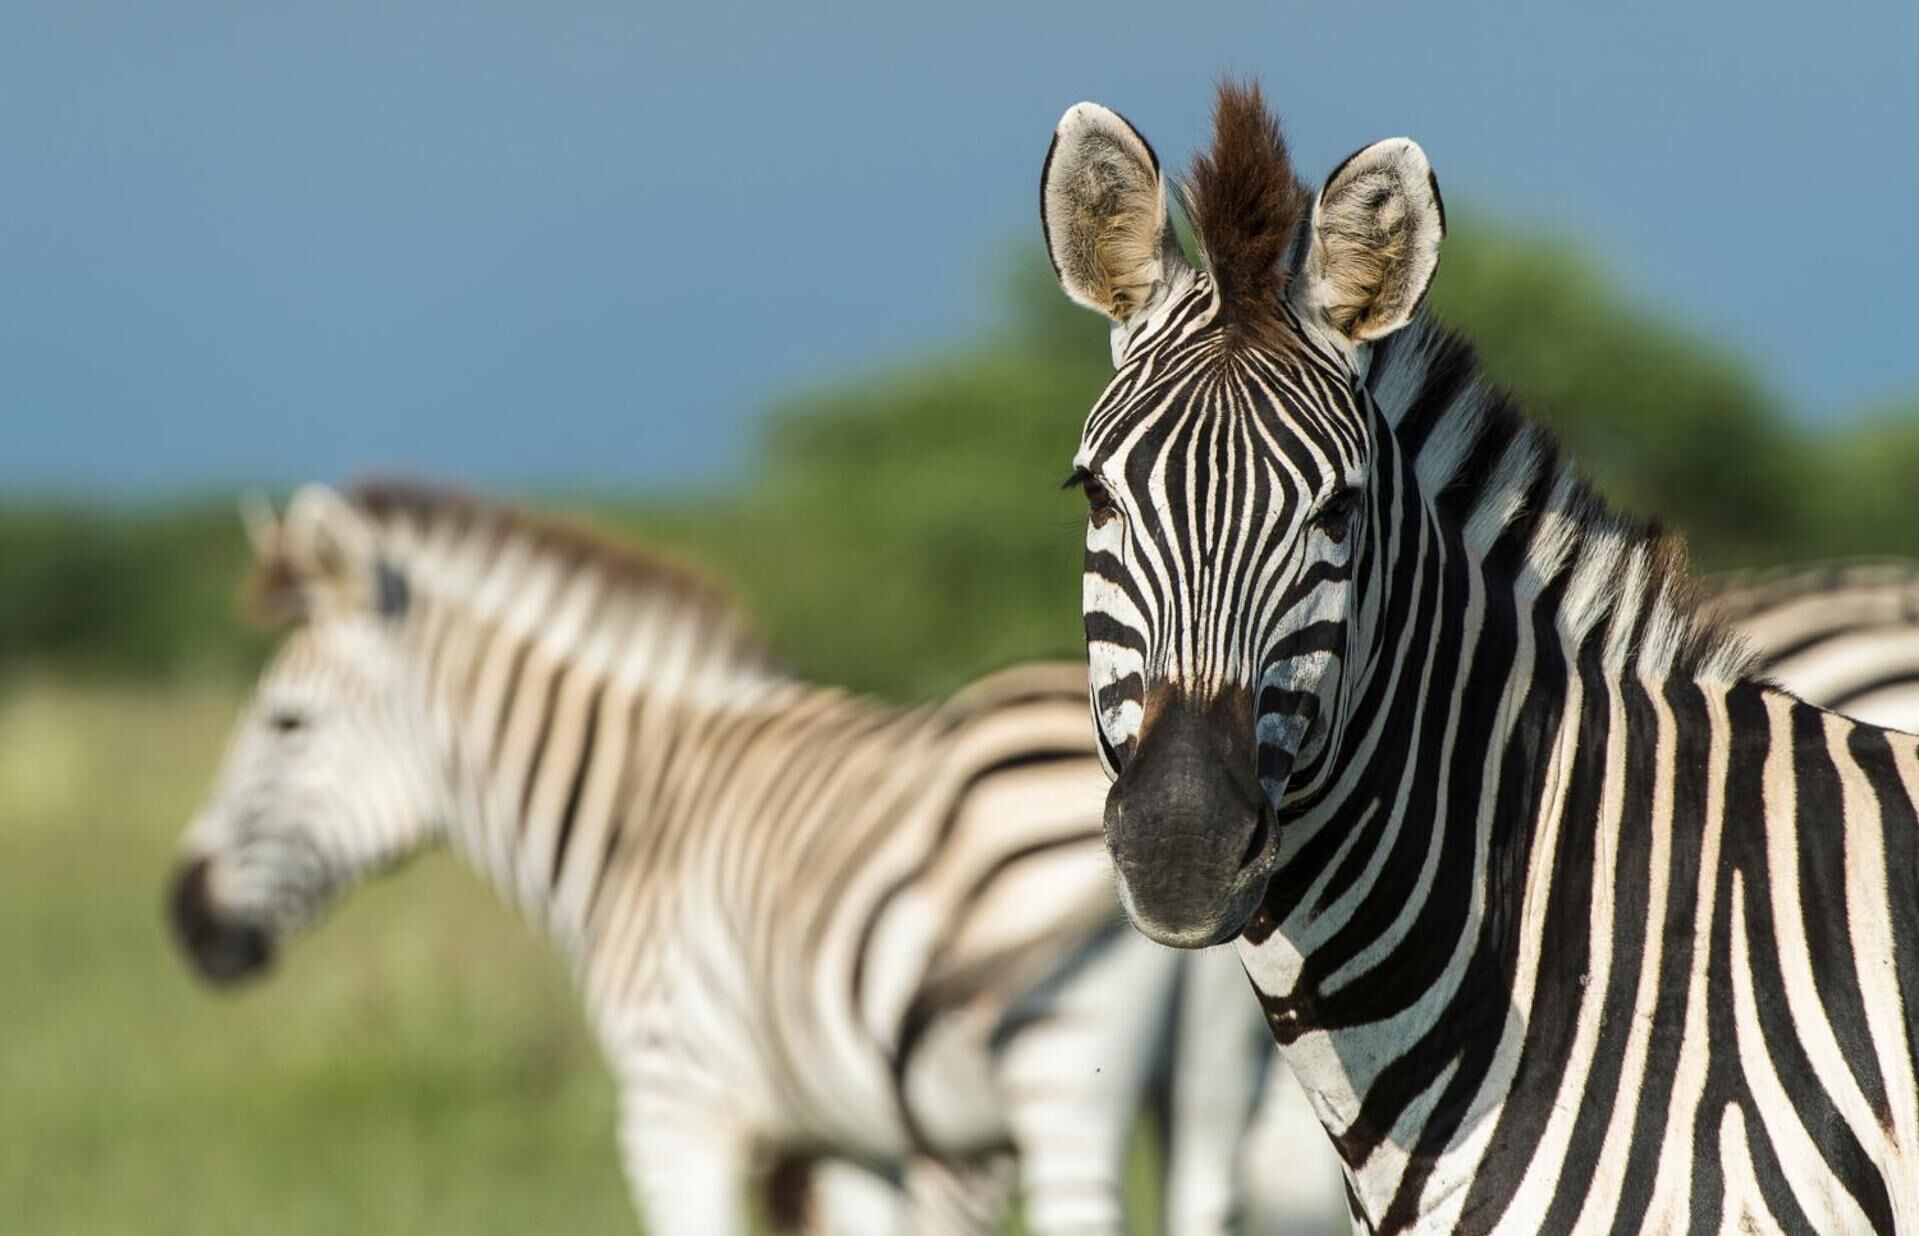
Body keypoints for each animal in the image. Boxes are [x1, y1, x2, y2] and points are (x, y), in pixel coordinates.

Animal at [165, 480, 1273, 1236]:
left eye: (286, 722)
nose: (187, 918)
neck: (645, 813)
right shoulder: (852, 1139)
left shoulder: (675, 1107)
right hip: (1211, 1085)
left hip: (1062, 1082)